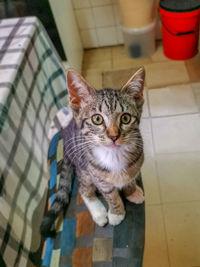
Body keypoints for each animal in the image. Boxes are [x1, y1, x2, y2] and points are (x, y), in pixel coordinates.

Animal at [39, 68, 145, 238]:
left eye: (126, 118)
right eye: (97, 119)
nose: (114, 136)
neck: (114, 155)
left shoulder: (137, 162)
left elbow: (130, 177)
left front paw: (131, 191)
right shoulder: (97, 175)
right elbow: (110, 194)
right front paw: (116, 212)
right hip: (83, 168)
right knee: (83, 189)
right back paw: (99, 212)